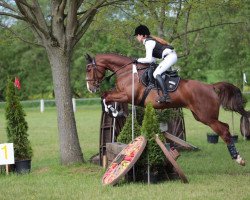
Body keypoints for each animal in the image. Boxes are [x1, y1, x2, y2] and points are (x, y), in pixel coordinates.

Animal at [85, 52, 249, 166]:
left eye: (89, 69)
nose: (90, 88)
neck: (126, 72)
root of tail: (210, 86)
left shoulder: (126, 95)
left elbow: (105, 96)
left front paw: (113, 111)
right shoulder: (121, 95)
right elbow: (105, 96)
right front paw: (113, 111)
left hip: (206, 116)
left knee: (224, 130)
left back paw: (238, 159)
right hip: (200, 116)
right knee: (225, 127)